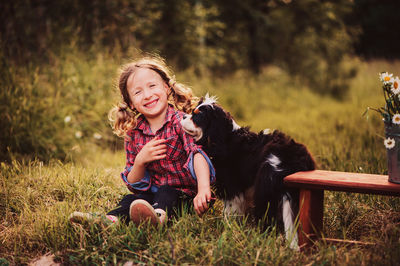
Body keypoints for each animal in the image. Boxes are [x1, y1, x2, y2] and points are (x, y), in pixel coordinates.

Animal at [181, 94, 316, 249]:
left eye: (196, 116)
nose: (183, 116)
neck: (224, 137)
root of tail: (293, 159)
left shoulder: (231, 187)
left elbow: (230, 210)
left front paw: (228, 228)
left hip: (265, 184)